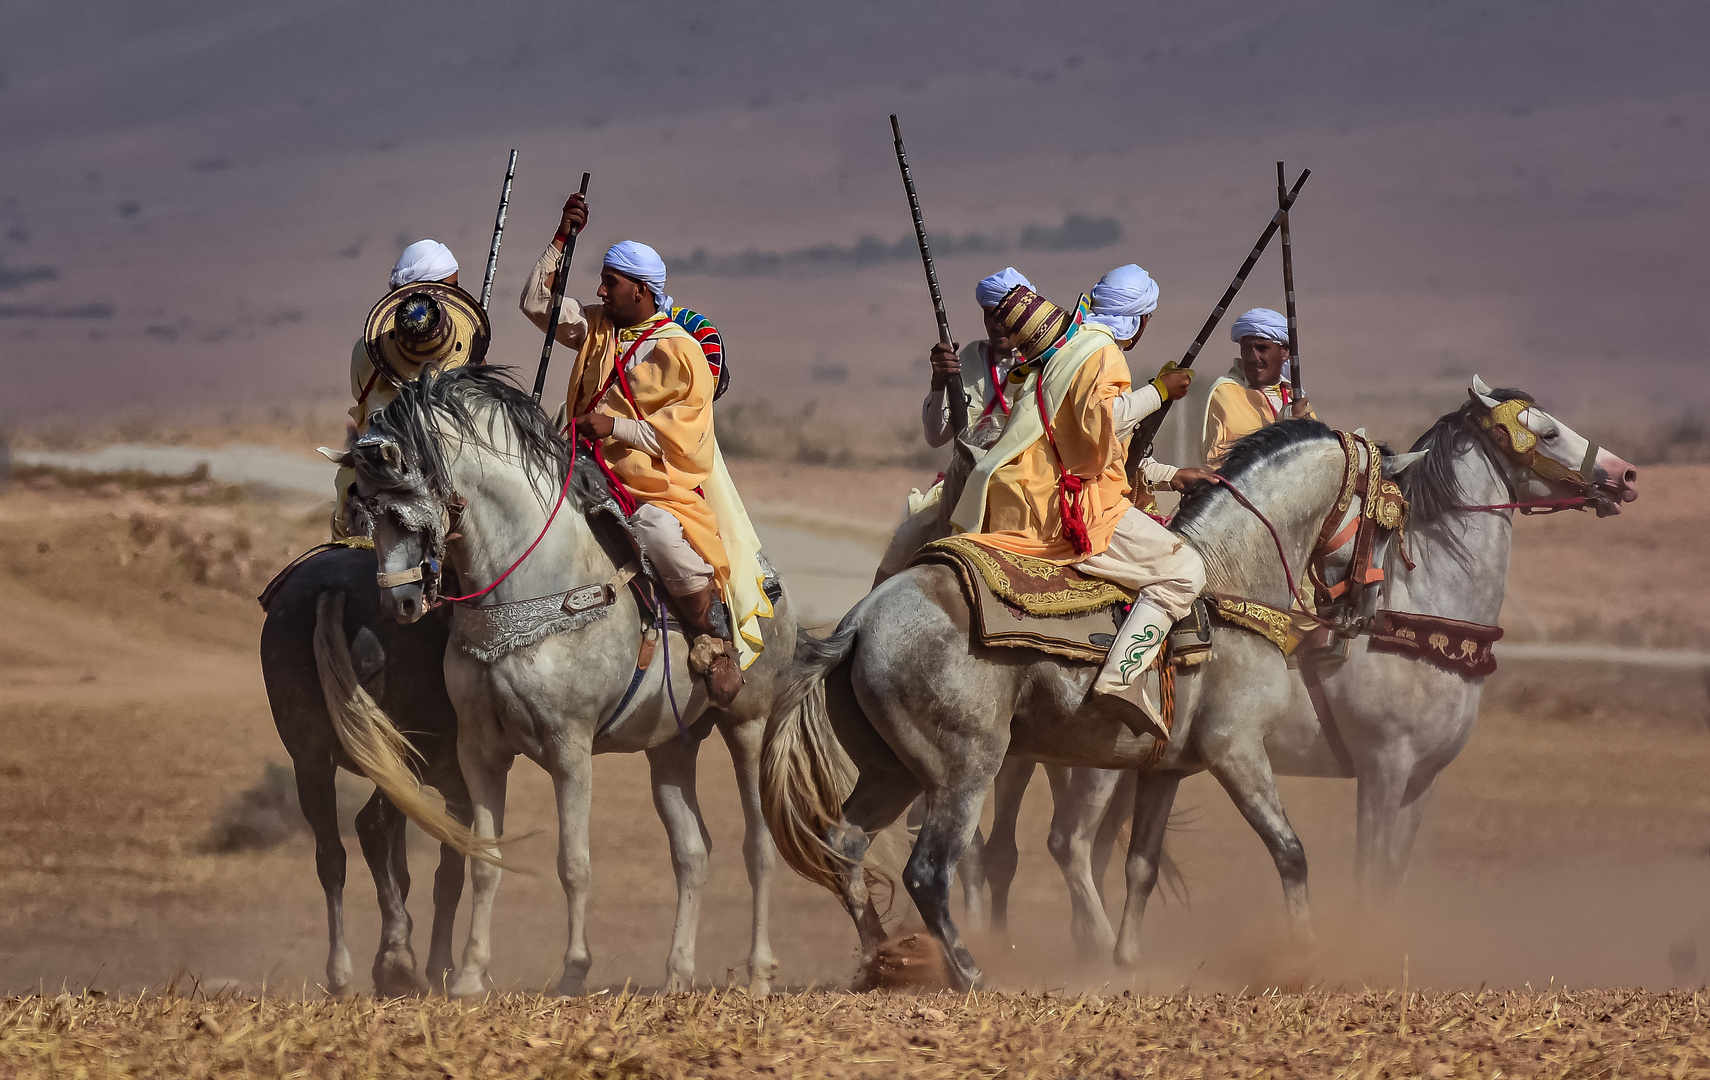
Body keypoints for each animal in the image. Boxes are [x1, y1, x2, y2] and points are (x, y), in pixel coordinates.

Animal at [324, 365, 793, 997]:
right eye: (364, 513)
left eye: (402, 513)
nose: (400, 602)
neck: (531, 583)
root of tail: (769, 584)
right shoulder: (480, 749)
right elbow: (484, 859)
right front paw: (469, 975)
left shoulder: (571, 748)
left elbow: (574, 863)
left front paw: (574, 970)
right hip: (671, 745)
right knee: (692, 851)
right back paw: (677, 973)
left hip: (747, 723)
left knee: (758, 845)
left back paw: (759, 973)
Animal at [978, 377, 1641, 963]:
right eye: (1547, 432)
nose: (1625, 475)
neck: (1422, 606)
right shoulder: (1382, 768)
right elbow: (1367, 872)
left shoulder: (1422, 780)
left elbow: (1392, 876)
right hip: (1094, 763)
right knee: (1057, 843)